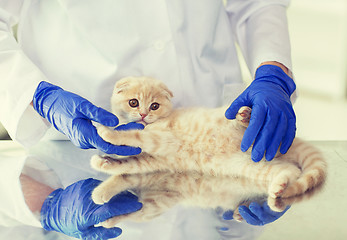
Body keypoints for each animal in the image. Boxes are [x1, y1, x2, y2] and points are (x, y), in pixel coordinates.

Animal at [91, 76, 328, 223]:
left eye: (154, 106)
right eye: (133, 102)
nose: (142, 115)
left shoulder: (163, 139)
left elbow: (134, 136)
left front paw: (106, 131)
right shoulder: (152, 161)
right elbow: (128, 166)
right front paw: (103, 169)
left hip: (247, 128)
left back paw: (245, 115)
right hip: (252, 165)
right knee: (289, 170)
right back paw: (279, 187)